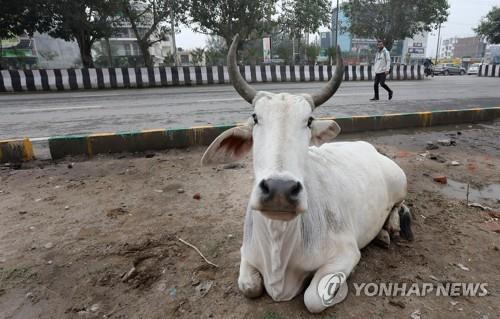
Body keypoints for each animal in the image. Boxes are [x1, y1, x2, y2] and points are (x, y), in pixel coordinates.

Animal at [201, 34, 412, 312]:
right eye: (255, 117)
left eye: (309, 121)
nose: (279, 190)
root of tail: (366, 147)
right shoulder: (246, 253)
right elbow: (249, 286)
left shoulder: (346, 253)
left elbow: (313, 298)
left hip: (400, 182)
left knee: (400, 205)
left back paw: (392, 227)